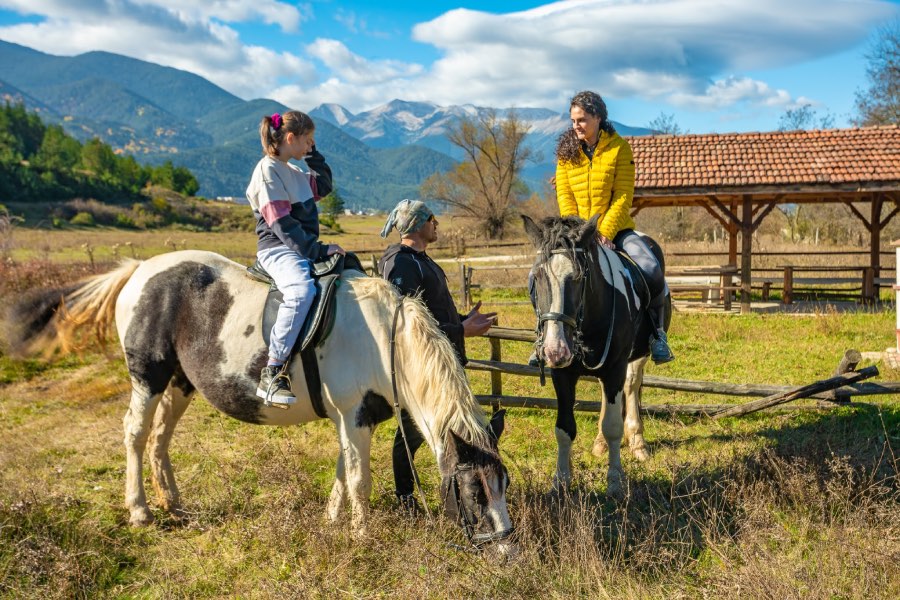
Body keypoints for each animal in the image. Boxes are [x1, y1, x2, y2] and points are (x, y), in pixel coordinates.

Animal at [14, 250, 516, 552]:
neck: (381, 337)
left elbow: (342, 472)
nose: (506, 549)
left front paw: (331, 523)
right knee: (136, 435)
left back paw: (174, 504)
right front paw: (361, 536)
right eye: (473, 490)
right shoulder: (353, 416)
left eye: (504, 484)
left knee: (160, 437)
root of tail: (138, 269)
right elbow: (359, 480)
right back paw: (140, 510)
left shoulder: (353, 420)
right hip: (148, 379)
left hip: (180, 383)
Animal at [520, 214, 668, 496]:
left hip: (636, 358)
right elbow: (564, 428)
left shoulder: (616, 368)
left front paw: (615, 482)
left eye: (578, 278)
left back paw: (638, 443)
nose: (555, 350)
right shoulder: (562, 374)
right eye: (538, 276)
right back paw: (600, 445)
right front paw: (561, 481)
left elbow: (613, 426)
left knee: (631, 387)